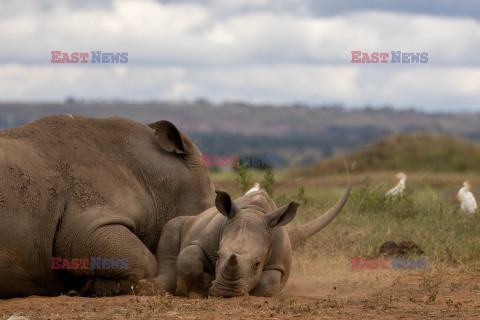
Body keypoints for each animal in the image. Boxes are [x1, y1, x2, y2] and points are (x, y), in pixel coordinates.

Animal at [137, 185, 350, 298]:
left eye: (257, 264)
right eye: (218, 257)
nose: (227, 291)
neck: (254, 212)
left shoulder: (278, 262)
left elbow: (268, 283)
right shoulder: (204, 238)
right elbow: (189, 259)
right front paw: (204, 286)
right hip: (188, 221)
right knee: (173, 228)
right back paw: (148, 287)